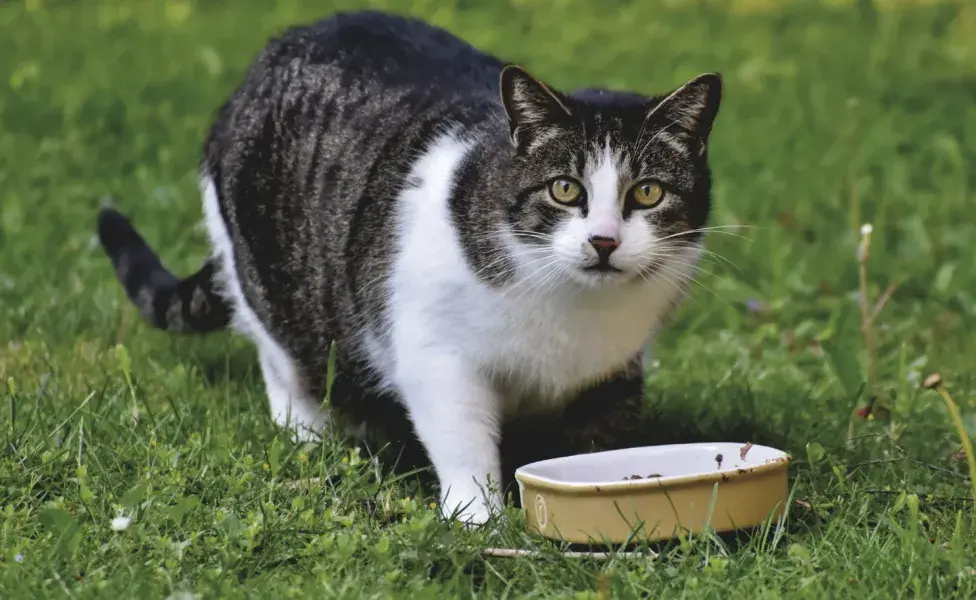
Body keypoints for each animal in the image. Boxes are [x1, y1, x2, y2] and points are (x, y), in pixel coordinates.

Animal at [97, 10, 724, 524]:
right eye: (565, 189)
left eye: (648, 192)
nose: (603, 241)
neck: (571, 309)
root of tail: (263, 61)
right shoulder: (436, 352)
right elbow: (461, 438)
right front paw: (478, 518)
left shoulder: (614, 371)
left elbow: (602, 441)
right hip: (266, 277)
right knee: (283, 361)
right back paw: (312, 432)